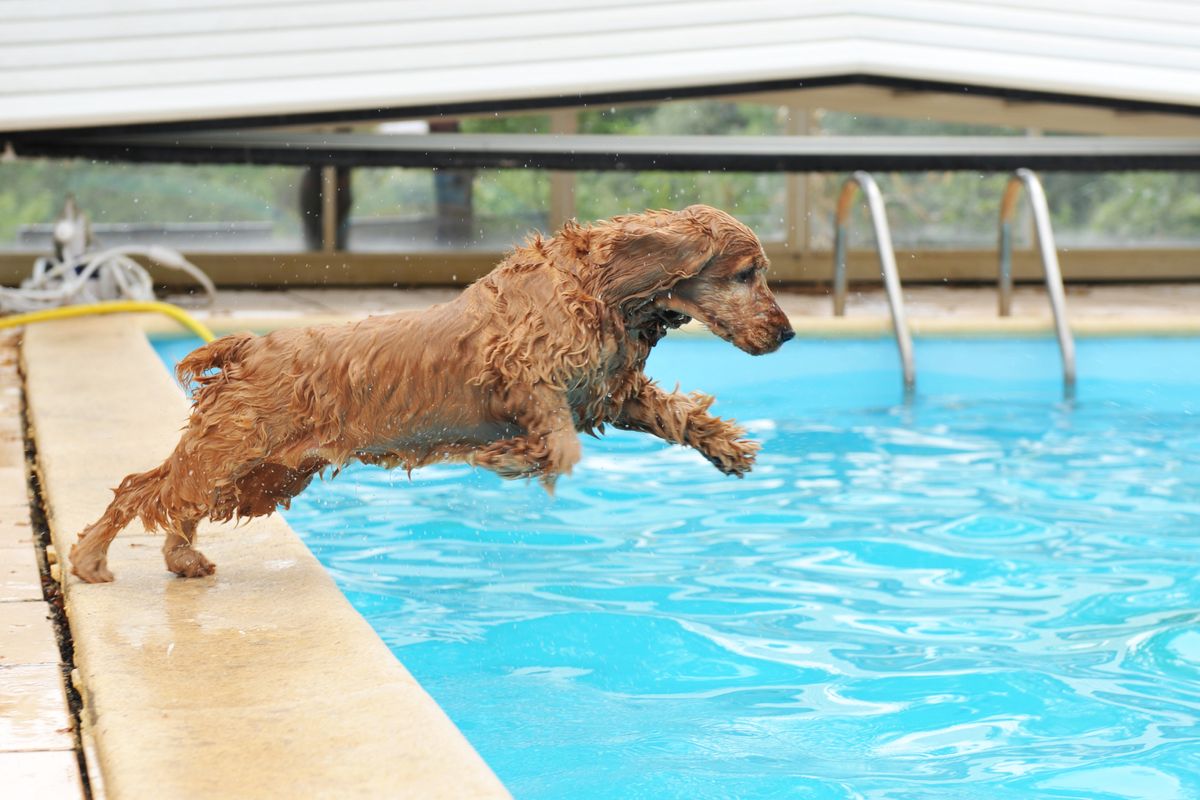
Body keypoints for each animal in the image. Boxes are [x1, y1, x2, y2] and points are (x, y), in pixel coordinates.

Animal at [65, 205, 796, 582]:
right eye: (746, 274)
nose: (788, 333)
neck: (608, 290)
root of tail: (249, 345)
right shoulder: (526, 374)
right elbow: (556, 444)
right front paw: (511, 458)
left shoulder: (609, 394)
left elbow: (675, 415)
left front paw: (729, 449)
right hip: (235, 450)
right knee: (140, 488)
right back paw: (90, 558)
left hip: (261, 476)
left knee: (179, 502)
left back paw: (182, 556)